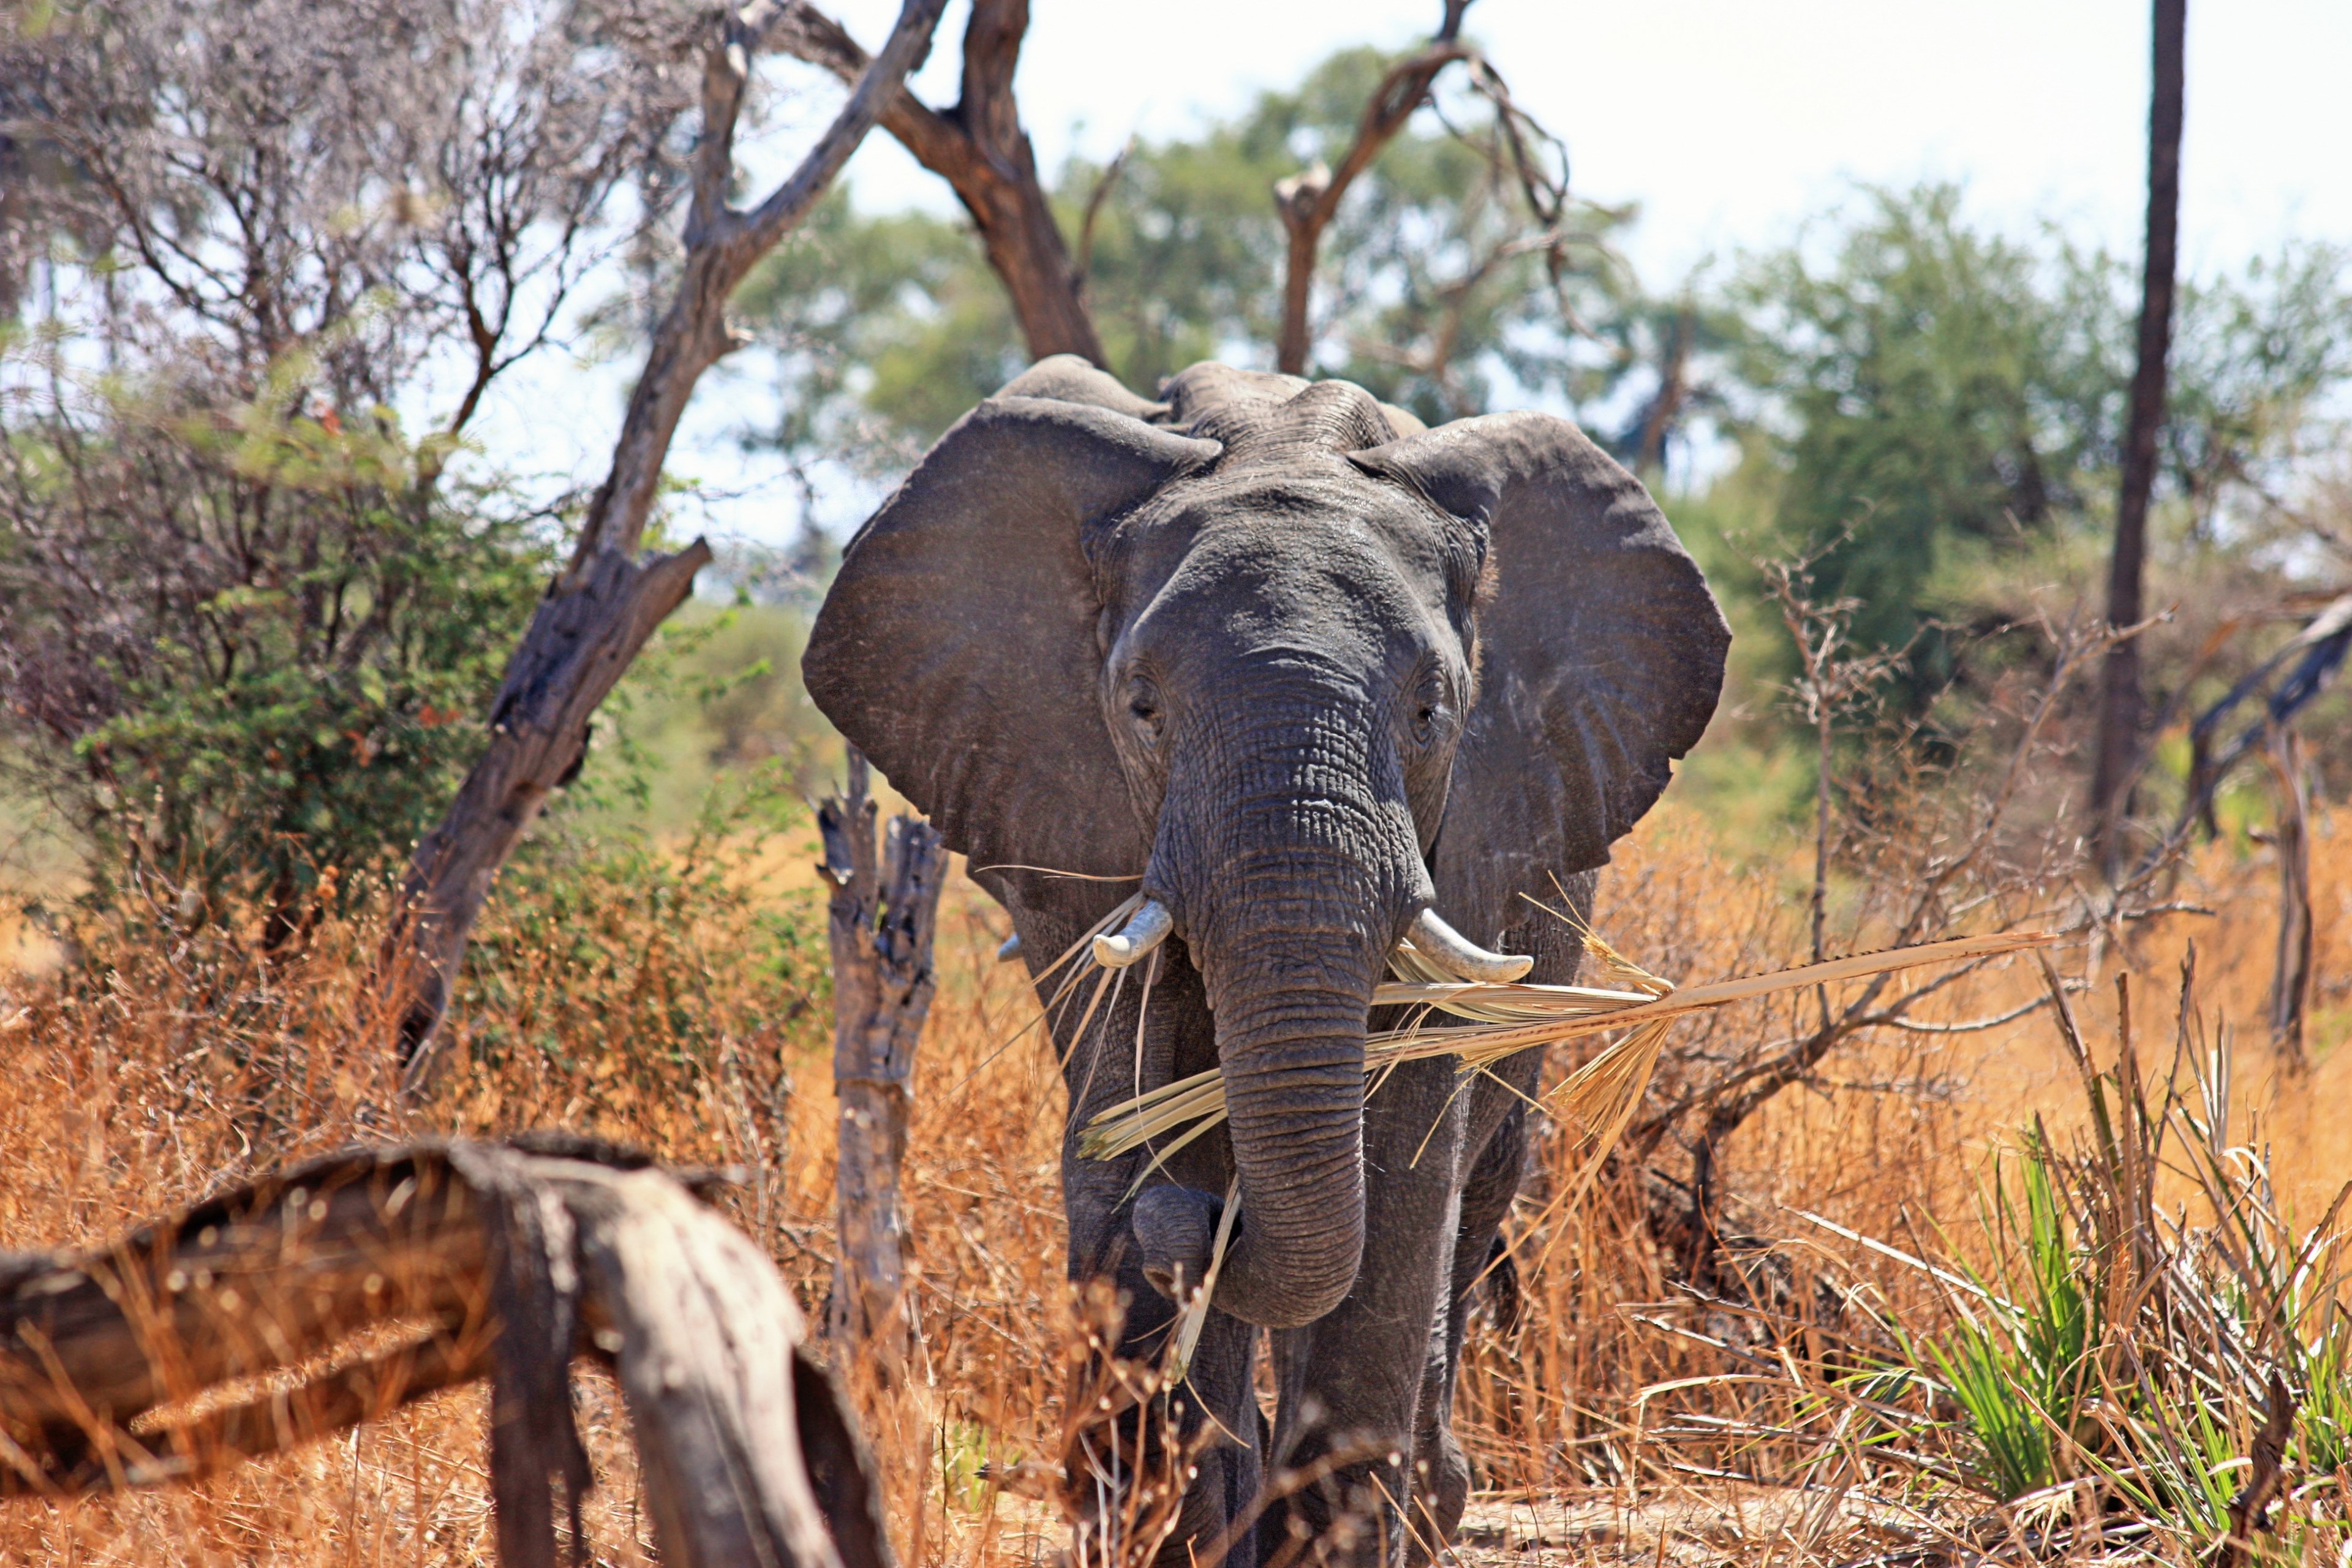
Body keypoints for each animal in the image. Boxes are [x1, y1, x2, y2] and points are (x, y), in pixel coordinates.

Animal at [803, 356, 1728, 1568]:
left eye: (1431, 710)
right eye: (1141, 707)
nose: (1201, 1226)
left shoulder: (1477, 831)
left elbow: (1400, 1166)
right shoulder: (1075, 818)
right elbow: (1132, 1106)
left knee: (1477, 1187)